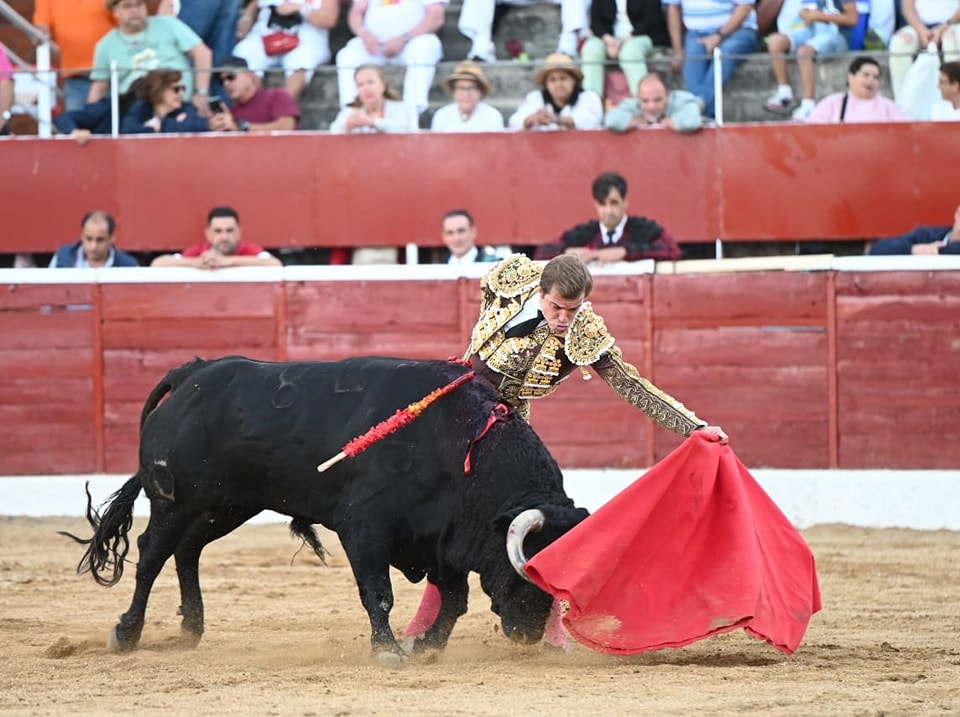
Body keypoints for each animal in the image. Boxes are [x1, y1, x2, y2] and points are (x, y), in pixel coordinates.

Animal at [65, 356, 584, 660]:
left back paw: (192, 627)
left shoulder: (444, 537)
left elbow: (454, 600)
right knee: (151, 554)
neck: (461, 445)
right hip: (175, 500)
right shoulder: (365, 530)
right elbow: (379, 593)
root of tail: (191, 373)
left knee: (187, 550)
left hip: (228, 504)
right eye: (527, 569)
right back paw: (126, 633)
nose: (529, 635)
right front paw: (388, 650)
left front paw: (425, 647)